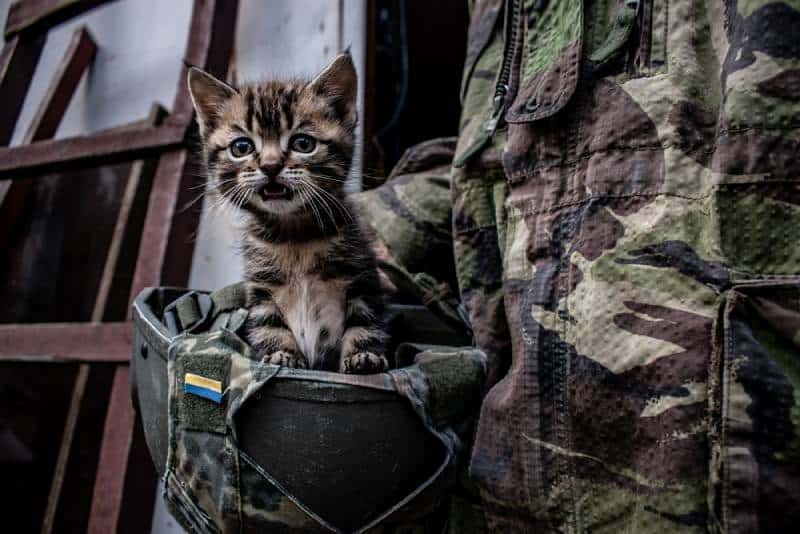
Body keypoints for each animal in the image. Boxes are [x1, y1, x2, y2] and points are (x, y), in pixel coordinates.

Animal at [188, 52, 388, 374]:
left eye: (303, 143)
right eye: (241, 147)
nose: (270, 166)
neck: (294, 236)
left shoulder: (362, 275)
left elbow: (365, 318)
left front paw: (362, 354)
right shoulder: (261, 289)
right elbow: (269, 323)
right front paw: (283, 353)